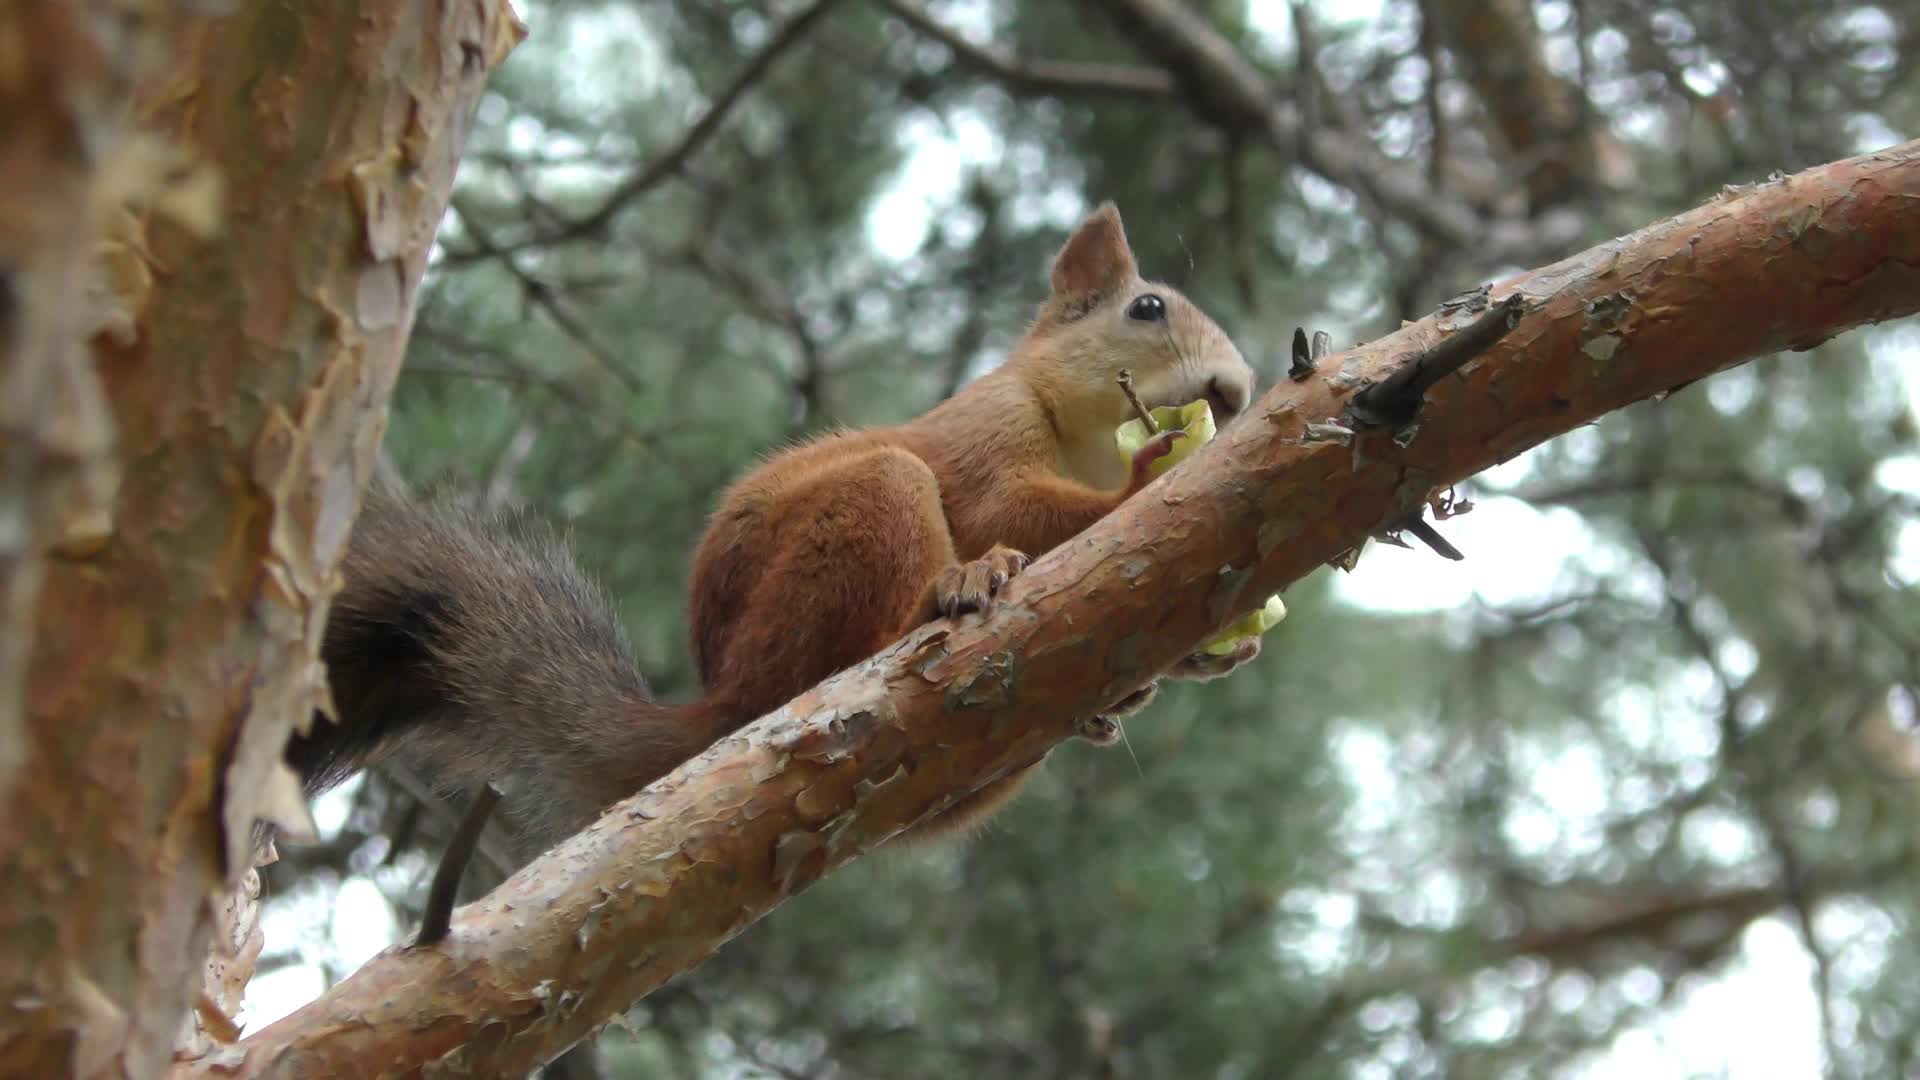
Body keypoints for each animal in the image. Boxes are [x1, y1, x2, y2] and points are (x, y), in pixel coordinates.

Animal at [288, 199, 1259, 857]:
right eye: (1146, 309)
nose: (1237, 391)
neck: (1083, 438)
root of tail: (724, 706)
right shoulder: (987, 432)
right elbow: (1006, 507)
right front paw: (1147, 475)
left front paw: (1217, 647)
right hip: (865, 518)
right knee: (842, 646)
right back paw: (945, 597)